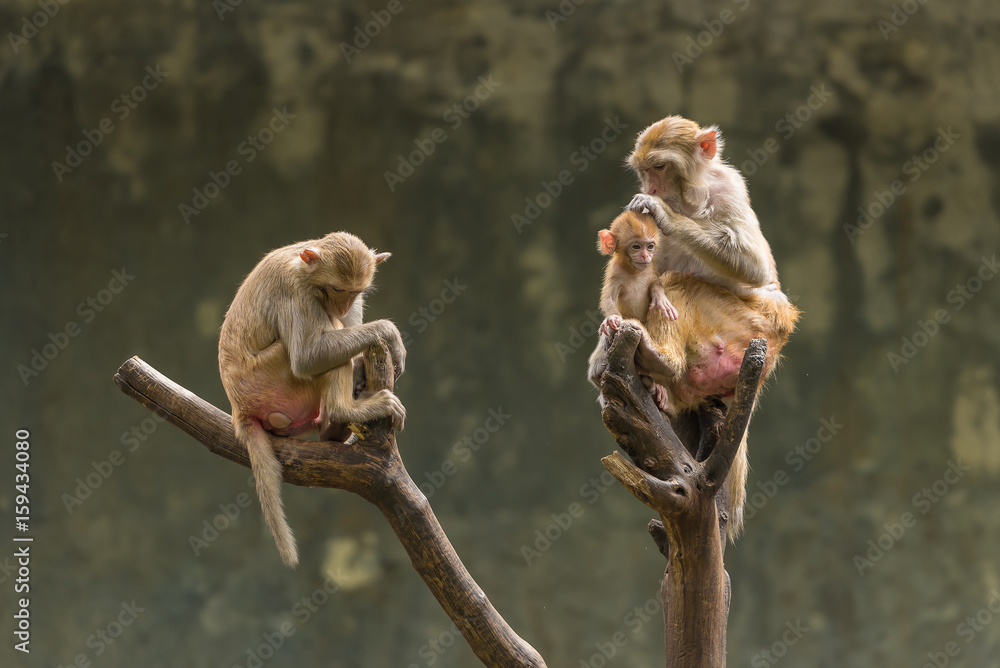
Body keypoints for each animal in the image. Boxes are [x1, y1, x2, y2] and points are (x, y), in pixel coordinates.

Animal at [219, 231, 407, 567]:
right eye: (337, 289)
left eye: (354, 292)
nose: (343, 305)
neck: (307, 273)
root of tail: (239, 409)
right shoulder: (295, 290)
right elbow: (309, 356)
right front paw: (389, 332)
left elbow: (347, 330)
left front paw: (365, 368)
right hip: (268, 379)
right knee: (316, 353)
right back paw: (343, 412)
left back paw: (335, 427)